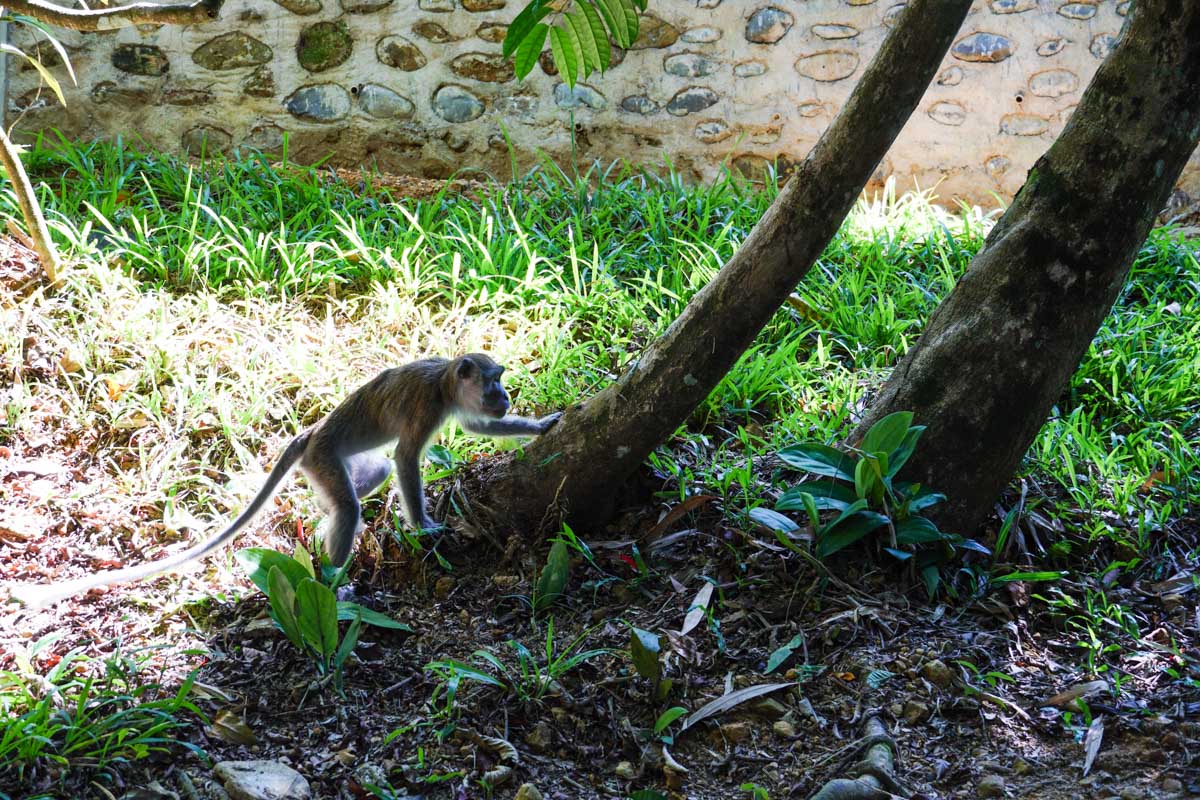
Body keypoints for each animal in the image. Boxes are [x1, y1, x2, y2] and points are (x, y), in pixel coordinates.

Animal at [9, 354, 562, 608]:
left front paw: (540, 426)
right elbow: (408, 458)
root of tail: (309, 435)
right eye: (494, 381)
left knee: (359, 487)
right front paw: (424, 525)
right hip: (323, 456)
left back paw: (320, 532)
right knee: (356, 501)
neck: (446, 378)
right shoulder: (428, 407)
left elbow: (477, 429)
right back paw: (333, 579)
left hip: (325, 464)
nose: (504, 396)